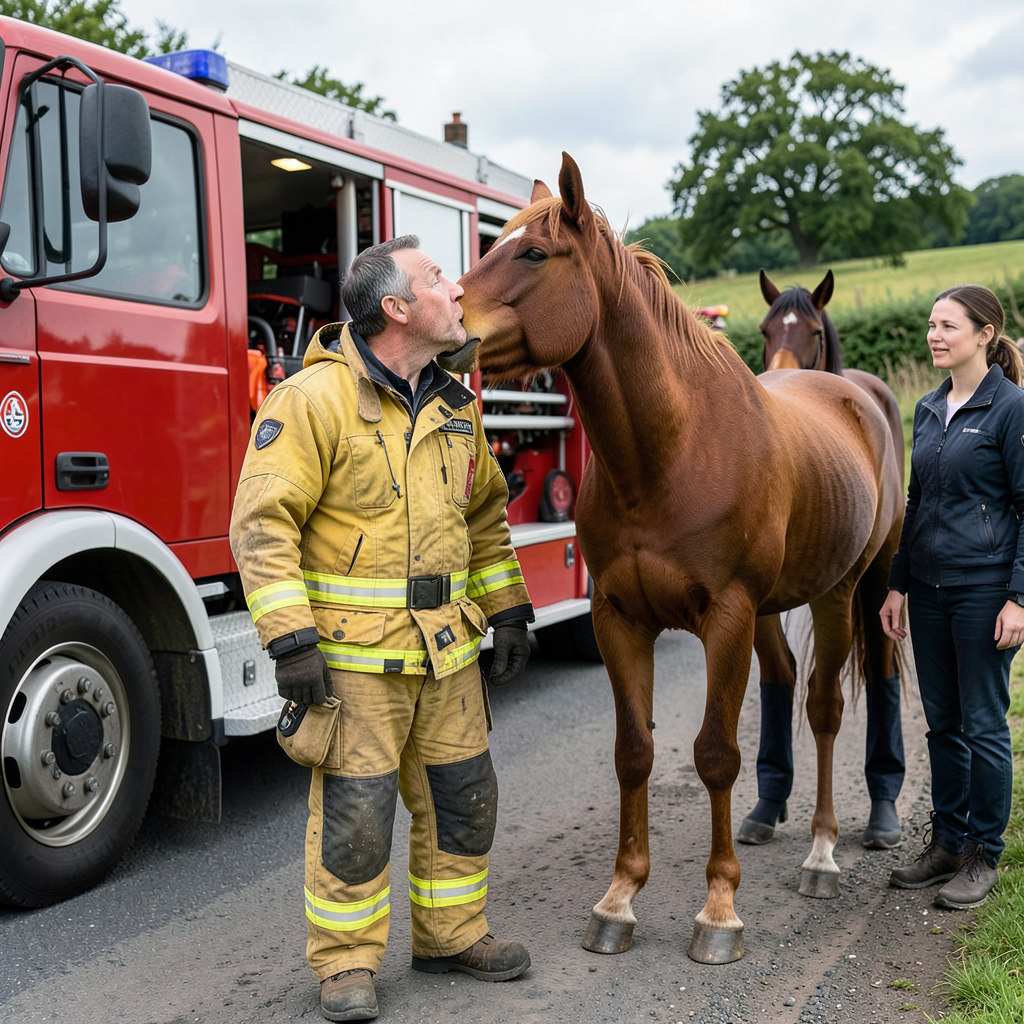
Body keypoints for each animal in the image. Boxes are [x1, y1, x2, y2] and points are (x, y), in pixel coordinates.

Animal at [735, 272, 908, 849]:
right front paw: (769, 800)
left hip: (880, 574)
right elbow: (778, 675)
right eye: (765, 330)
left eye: (813, 331)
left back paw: (883, 809)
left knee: (880, 667)